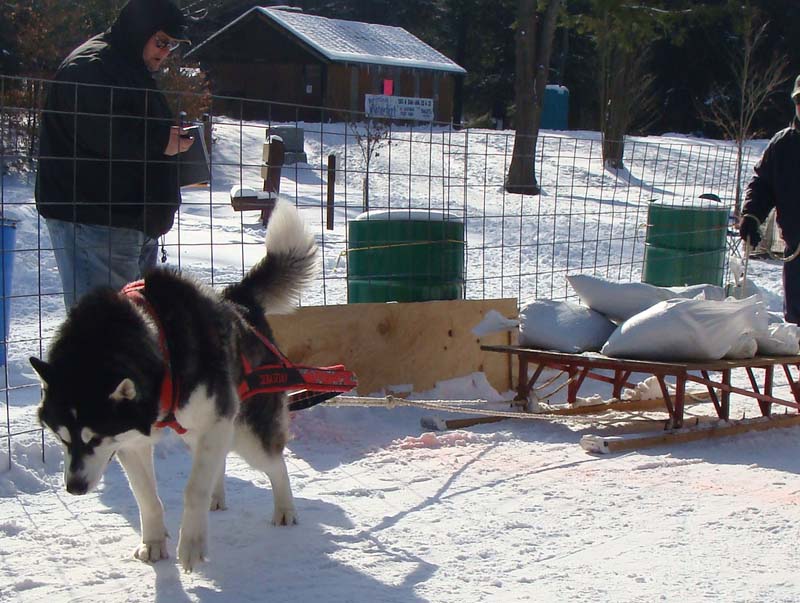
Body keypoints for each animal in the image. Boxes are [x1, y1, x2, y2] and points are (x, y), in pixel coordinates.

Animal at [31, 202, 318, 572]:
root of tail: (237, 301)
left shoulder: (213, 419)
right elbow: (146, 497)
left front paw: (191, 545)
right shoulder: (130, 441)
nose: (74, 488)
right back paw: (217, 496)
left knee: (274, 463)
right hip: (203, 430)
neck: (157, 338)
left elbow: (192, 490)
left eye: (94, 439)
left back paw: (284, 509)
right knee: (217, 460)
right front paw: (153, 542)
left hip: (245, 431)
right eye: (62, 438)